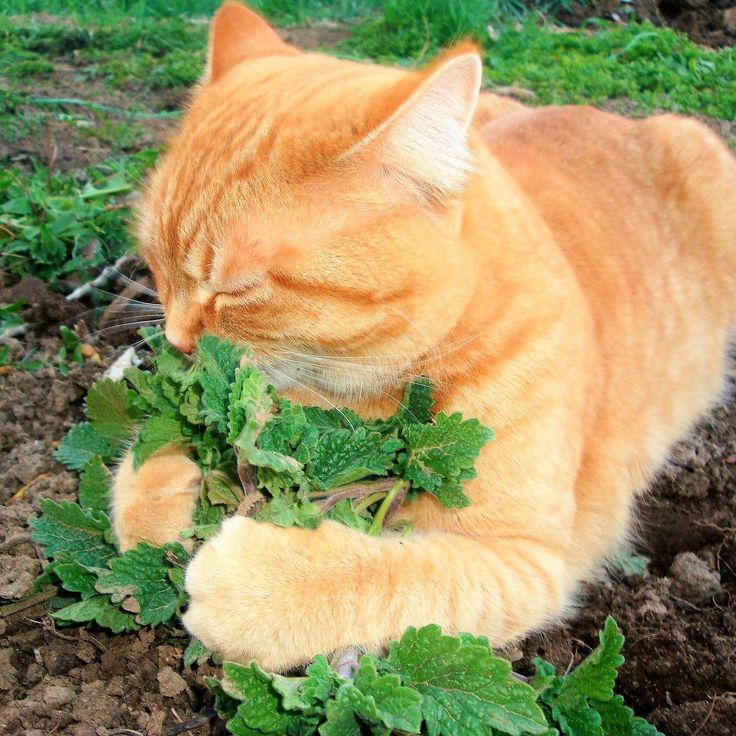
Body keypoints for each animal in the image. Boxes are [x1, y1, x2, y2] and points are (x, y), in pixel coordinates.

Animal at [109, 0, 736, 668]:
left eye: (236, 289)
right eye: (153, 261)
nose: (177, 341)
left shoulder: (523, 558)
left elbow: (389, 575)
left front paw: (255, 586)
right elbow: (157, 439)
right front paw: (157, 499)